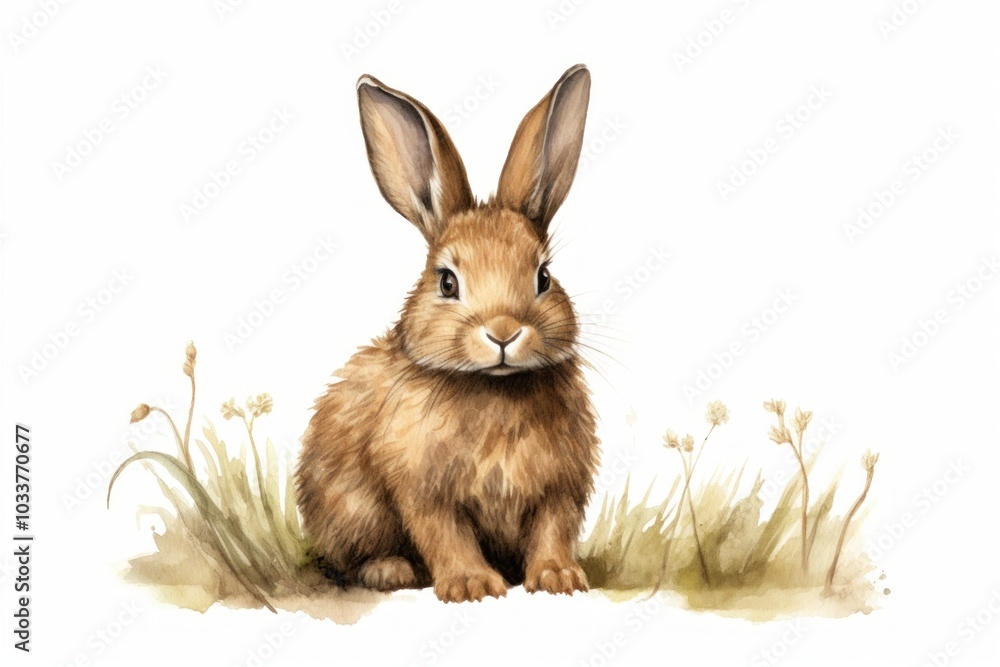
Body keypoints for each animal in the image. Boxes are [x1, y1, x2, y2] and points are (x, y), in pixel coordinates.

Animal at [296, 64, 599, 603]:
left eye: (543, 277)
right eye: (447, 282)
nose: (503, 332)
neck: (495, 388)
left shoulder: (560, 488)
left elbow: (553, 529)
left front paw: (560, 578)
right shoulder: (423, 490)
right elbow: (444, 532)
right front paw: (472, 584)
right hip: (350, 510)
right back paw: (390, 571)